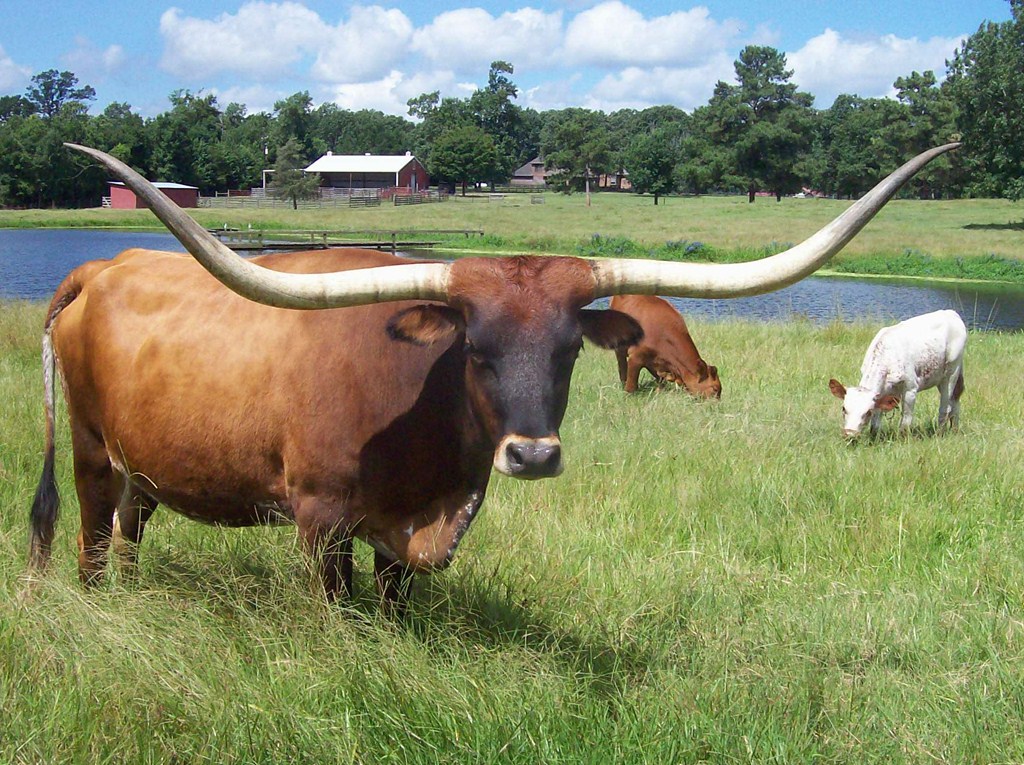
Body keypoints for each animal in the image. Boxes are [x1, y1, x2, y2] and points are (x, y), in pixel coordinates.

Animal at [828, 309, 967, 439]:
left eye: (868, 412)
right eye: (843, 409)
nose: (849, 434)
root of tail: (951, 313)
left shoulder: (911, 388)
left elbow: (906, 420)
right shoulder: (881, 394)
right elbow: (876, 423)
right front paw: (874, 438)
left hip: (951, 372)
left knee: (945, 406)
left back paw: (940, 433)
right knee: (955, 398)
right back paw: (954, 430)